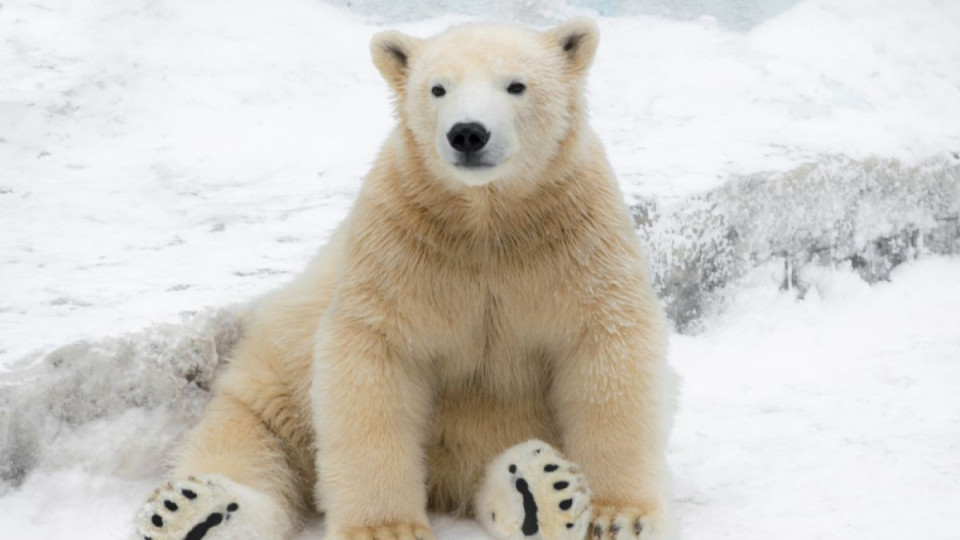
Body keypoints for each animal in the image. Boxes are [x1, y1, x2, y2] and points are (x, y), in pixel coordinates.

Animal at [135, 19, 676, 540]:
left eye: (516, 85)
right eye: (437, 88)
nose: (467, 133)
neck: (487, 220)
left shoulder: (573, 237)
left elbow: (606, 351)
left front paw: (618, 515)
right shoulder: (402, 244)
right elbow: (375, 359)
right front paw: (385, 529)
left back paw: (539, 492)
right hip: (271, 382)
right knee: (247, 443)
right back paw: (196, 511)